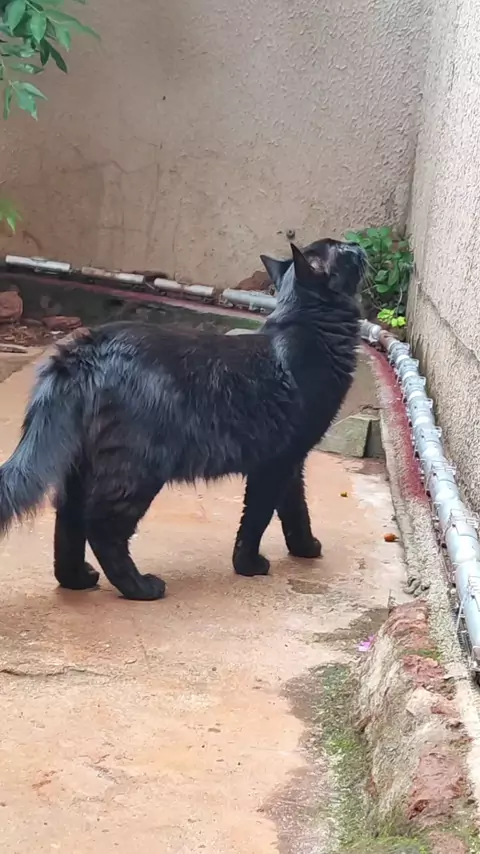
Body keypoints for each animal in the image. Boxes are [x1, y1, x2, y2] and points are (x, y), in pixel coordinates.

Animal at [0, 239, 365, 601]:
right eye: (342, 249)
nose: (357, 245)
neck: (308, 325)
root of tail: (86, 349)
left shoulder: (291, 460)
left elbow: (295, 508)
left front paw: (305, 547)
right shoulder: (277, 462)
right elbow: (257, 516)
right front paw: (249, 565)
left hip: (83, 464)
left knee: (68, 518)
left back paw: (76, 579)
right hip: (138, 469)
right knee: (101, 526)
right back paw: (140, 587)